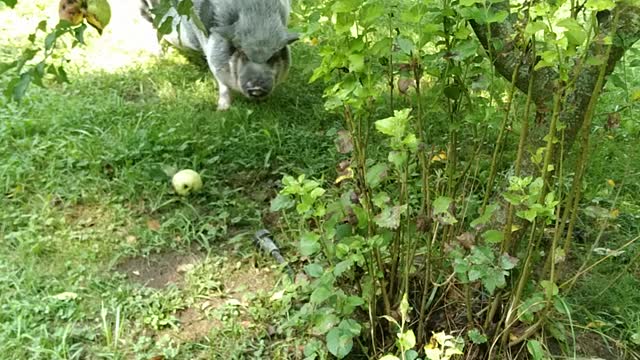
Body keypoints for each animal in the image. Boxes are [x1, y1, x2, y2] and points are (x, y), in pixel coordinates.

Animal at [140, 0, 298, 109]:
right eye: (242, 52)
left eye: (273, 56)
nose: (257, 87)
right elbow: (222, 83)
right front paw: (222, 110)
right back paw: (159, 56)